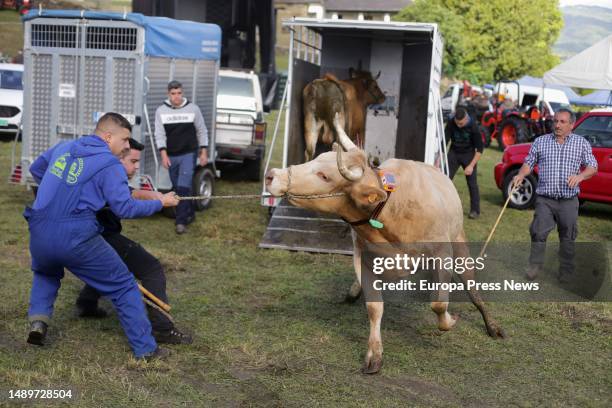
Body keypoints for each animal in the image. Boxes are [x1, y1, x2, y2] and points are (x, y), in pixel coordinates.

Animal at [266, 116, 504, 374]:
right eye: (316, 159)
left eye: (324, 176)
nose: (272, 175)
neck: (391, 210)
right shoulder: (363, 259)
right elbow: (374, 307)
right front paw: (375, 354)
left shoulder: (442, 253)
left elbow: (439, 303)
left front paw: (450, 320)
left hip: (459, 241)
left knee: (471, 286)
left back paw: (491, 325)